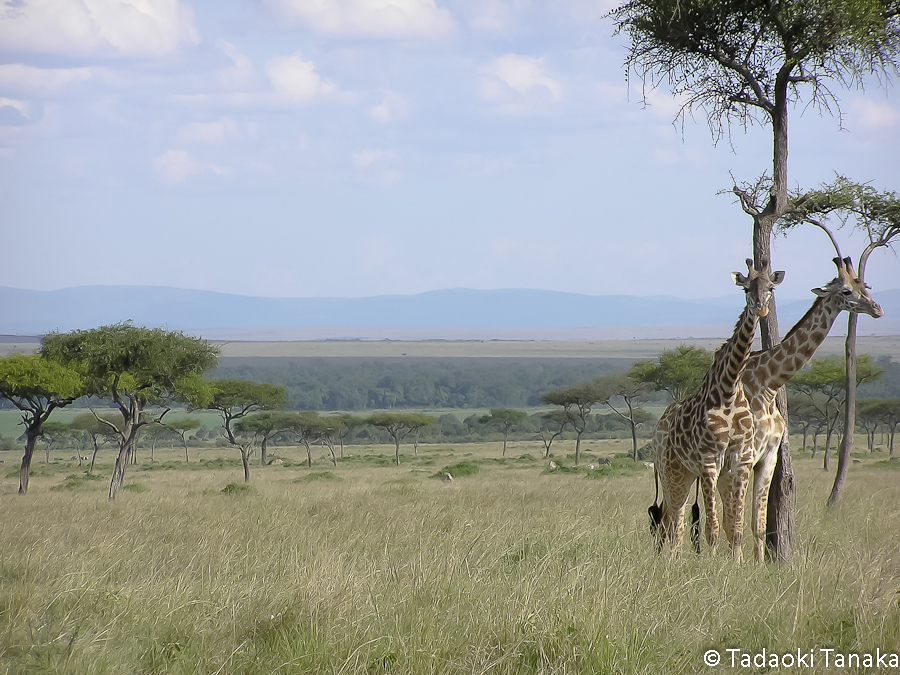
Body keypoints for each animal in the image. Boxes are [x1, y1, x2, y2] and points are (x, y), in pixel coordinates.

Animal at [652, 258, 784, 556]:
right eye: (745, 288)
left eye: (770, 287)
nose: (761, 308)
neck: (728, 389)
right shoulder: (709, 460)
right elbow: (711, 527)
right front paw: (710, 563)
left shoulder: (740, 460)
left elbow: (735, 525)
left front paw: (735, 563)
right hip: (672, 471)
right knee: (673, 519)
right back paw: (673, 560)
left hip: (687, 473)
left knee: (675, 520)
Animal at [716, 256, 884, 564]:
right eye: (846, 291)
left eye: (864, 286)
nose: (878, 309)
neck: (768, 383)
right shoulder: (745, 454)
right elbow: (739, 517)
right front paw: (737, 564)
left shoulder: (768, 453)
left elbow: (757, 521)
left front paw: (758, 565)